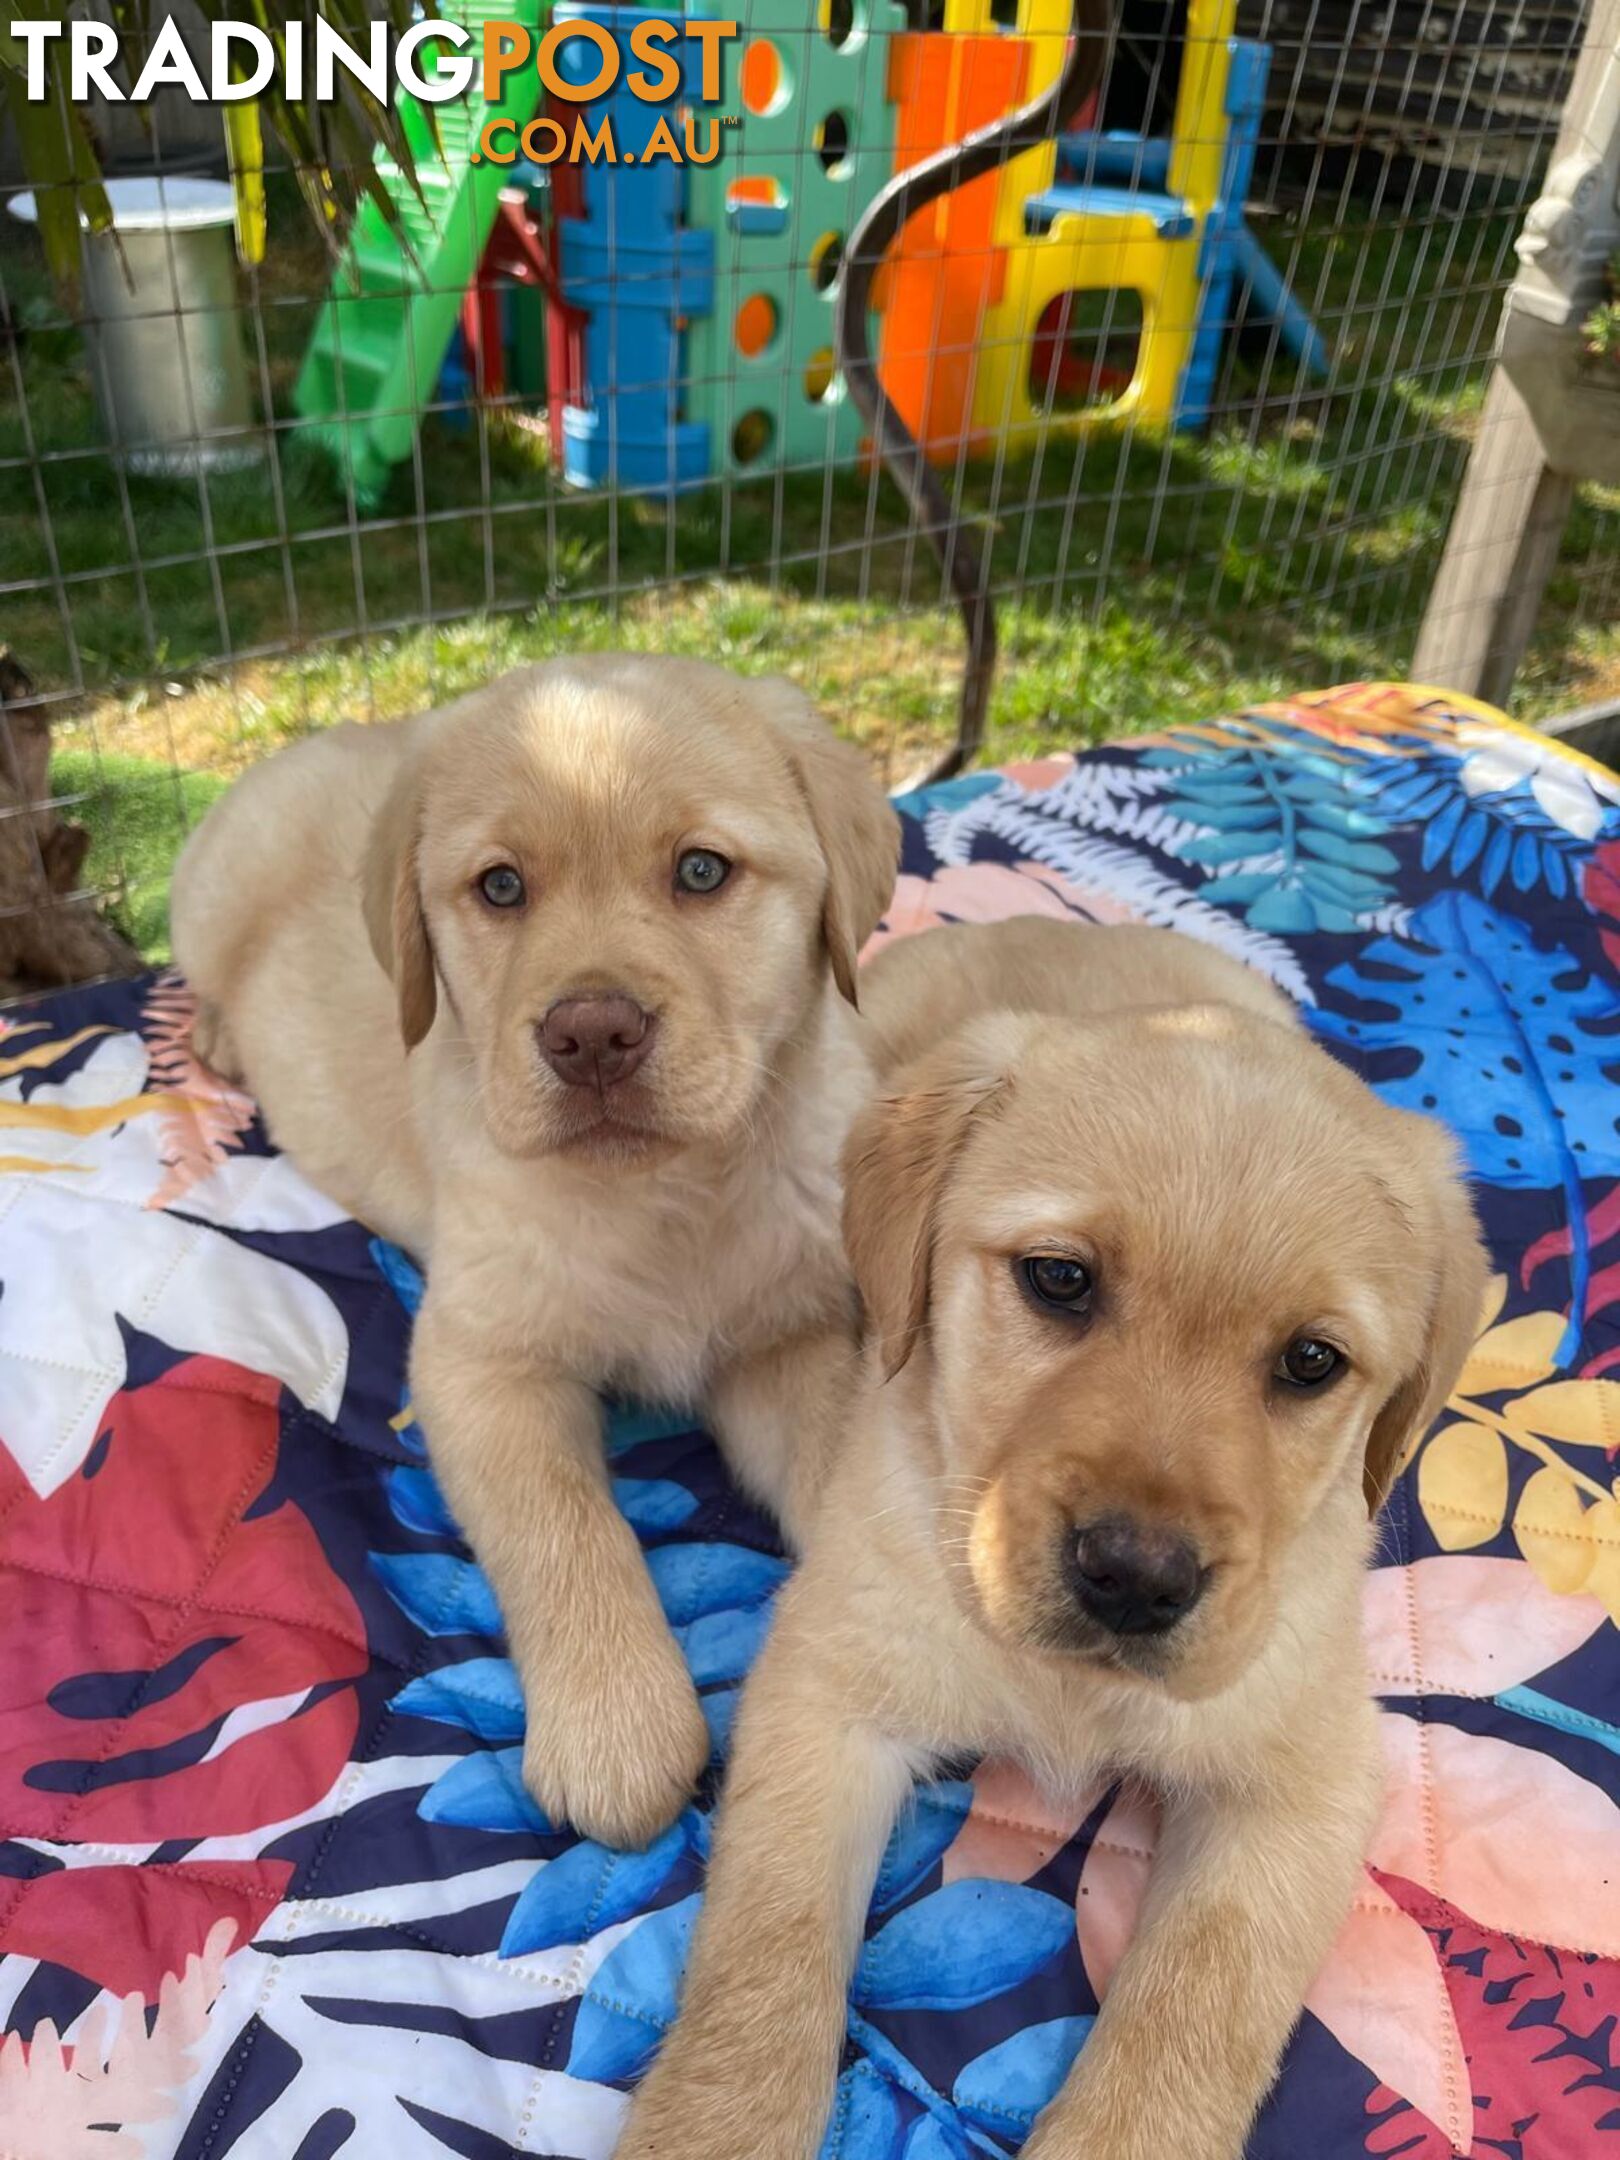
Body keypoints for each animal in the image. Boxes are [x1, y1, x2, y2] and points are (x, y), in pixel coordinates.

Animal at [172, 656, 907, 1840]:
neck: (661, 1197)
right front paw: (618, 1729)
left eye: (702, 871)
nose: (591, 1034)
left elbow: (835, 1459)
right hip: (204, 897)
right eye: (502, 889)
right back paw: (217, 1035)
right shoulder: (479, 1361)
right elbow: (561, 1522)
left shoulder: (790, 1338)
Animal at [617, 920, 1486, 2160]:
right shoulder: (825, 1692)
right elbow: (765, 1948)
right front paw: (715, 2125)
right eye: (1060, 1280)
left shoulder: (1303, 1783)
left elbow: (1196, 2001)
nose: (1136, 1578)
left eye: (1312, 1362)